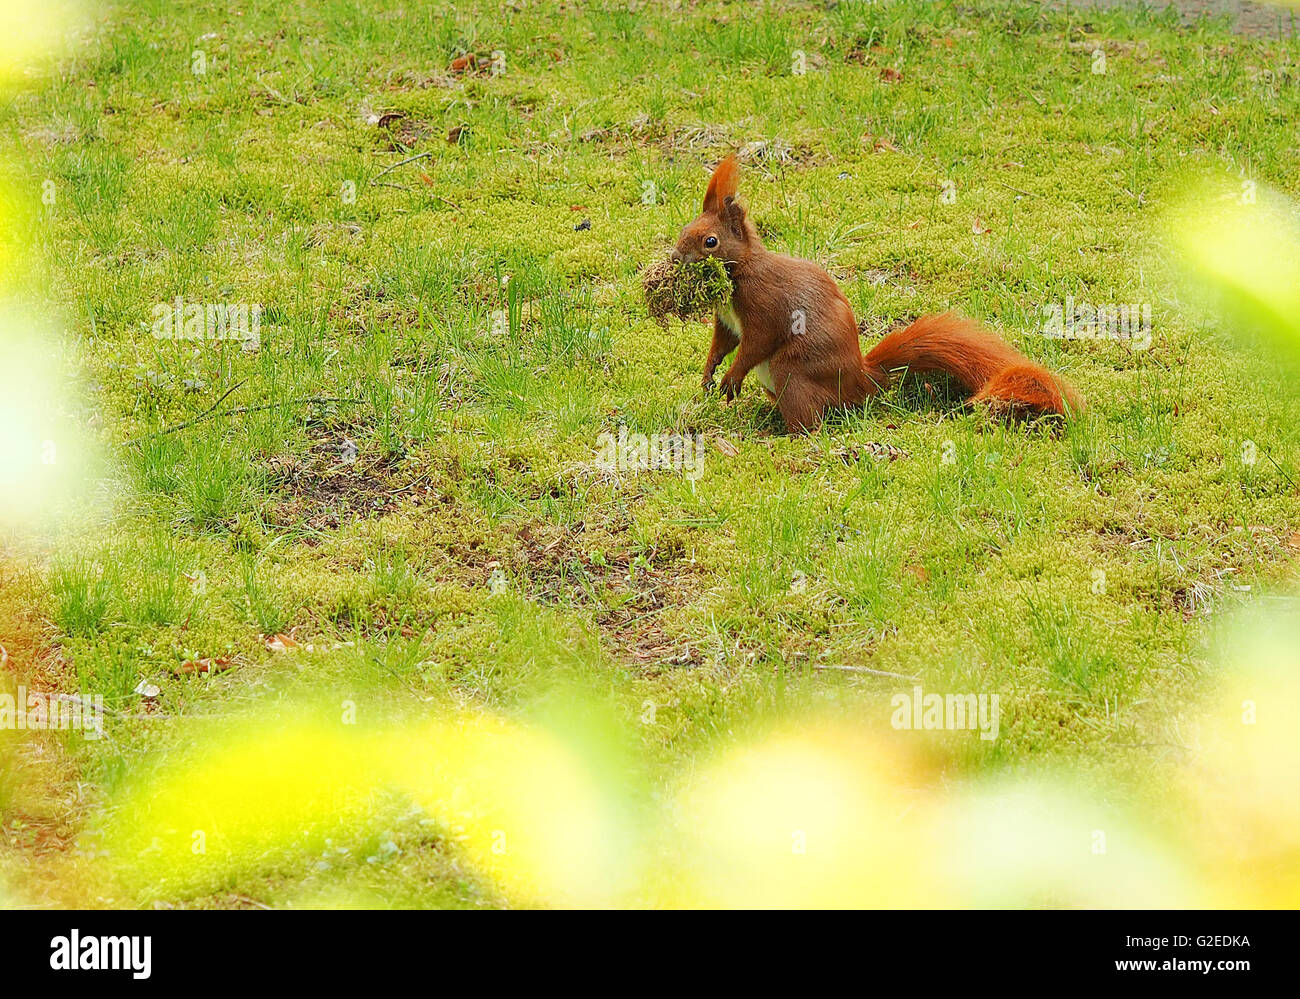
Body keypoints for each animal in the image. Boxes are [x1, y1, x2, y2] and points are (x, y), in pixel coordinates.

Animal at [676, 154, 1081, 429]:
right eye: (685, 229)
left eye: (710, 241)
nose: (676, 257)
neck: (740, 272)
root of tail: (861, 381)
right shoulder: (726, 320)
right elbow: (723, 342)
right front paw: (709, 373)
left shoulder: (766, 306)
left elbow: (755, 344)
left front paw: (729, 380)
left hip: (793, 372)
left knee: (810, 422)